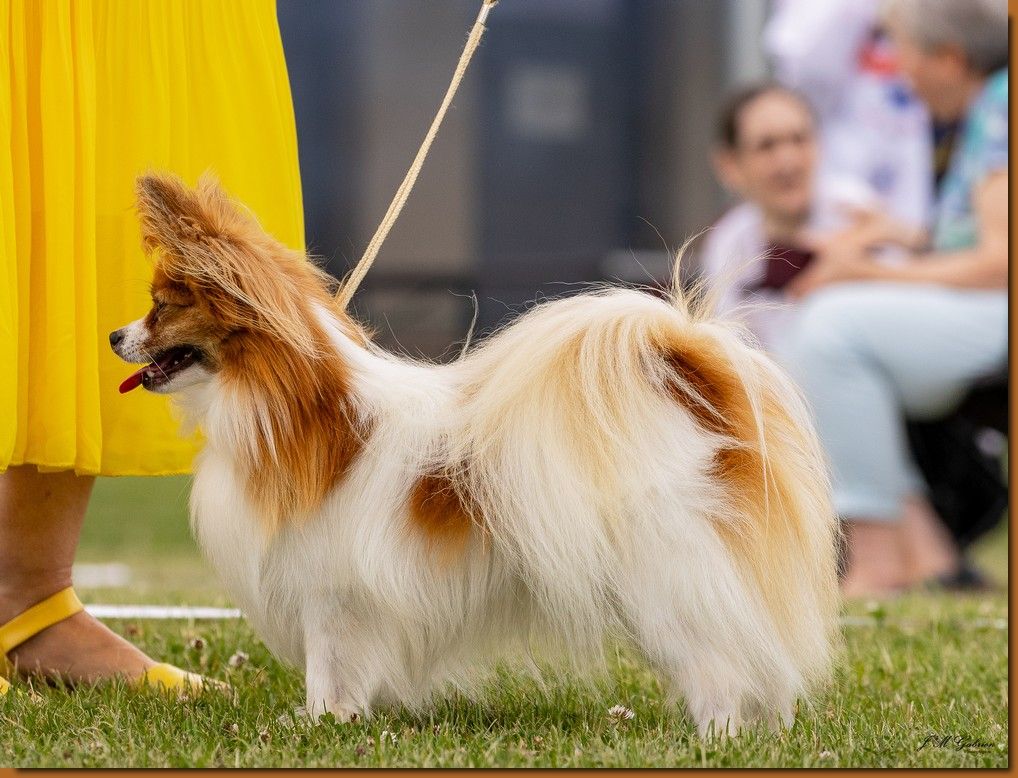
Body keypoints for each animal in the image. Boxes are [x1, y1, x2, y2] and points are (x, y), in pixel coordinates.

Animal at [113, 173, 842, 737]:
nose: (115, 335)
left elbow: (330, 666)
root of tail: (700, 404)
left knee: (721, 665)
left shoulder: (332, 593)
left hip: (665, 581)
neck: (286, 402)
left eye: (159, 308)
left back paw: (716, 735)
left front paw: (320, 723)